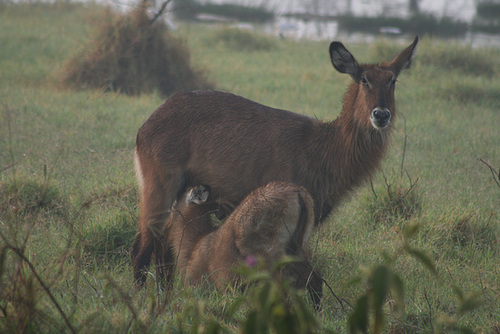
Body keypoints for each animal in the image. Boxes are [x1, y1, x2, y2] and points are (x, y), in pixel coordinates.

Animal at [132, 37, 418, 288]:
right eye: (364, 79)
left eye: (393, 80)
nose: (381, 115)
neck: (323, 149)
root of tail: (147, 125)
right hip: (160, 186)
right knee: (143, 246)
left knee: (160, 247)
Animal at [168, 181, 324, 306]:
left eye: (176, 198)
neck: (193, 246)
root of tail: (298, 192)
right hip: (300, 248)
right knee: (314, 278)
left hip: (269, 255)